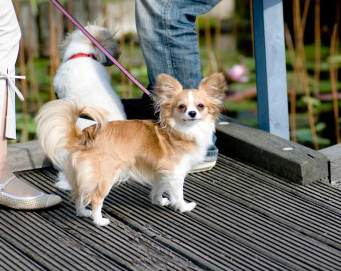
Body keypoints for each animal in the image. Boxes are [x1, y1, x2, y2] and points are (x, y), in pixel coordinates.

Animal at [35, 73, 226, 226]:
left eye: (200, 106)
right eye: (182, 107)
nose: (192, 113)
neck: (183, 130)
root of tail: (83, 136)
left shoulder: (161, 171)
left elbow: (159, 187)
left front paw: (159, 201)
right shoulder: (175, 173)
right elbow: (178, 193)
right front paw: (184, 207)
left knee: (79, 195)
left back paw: (83, 213)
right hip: (105, 177)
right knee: (95, 199)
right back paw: (99, 221)